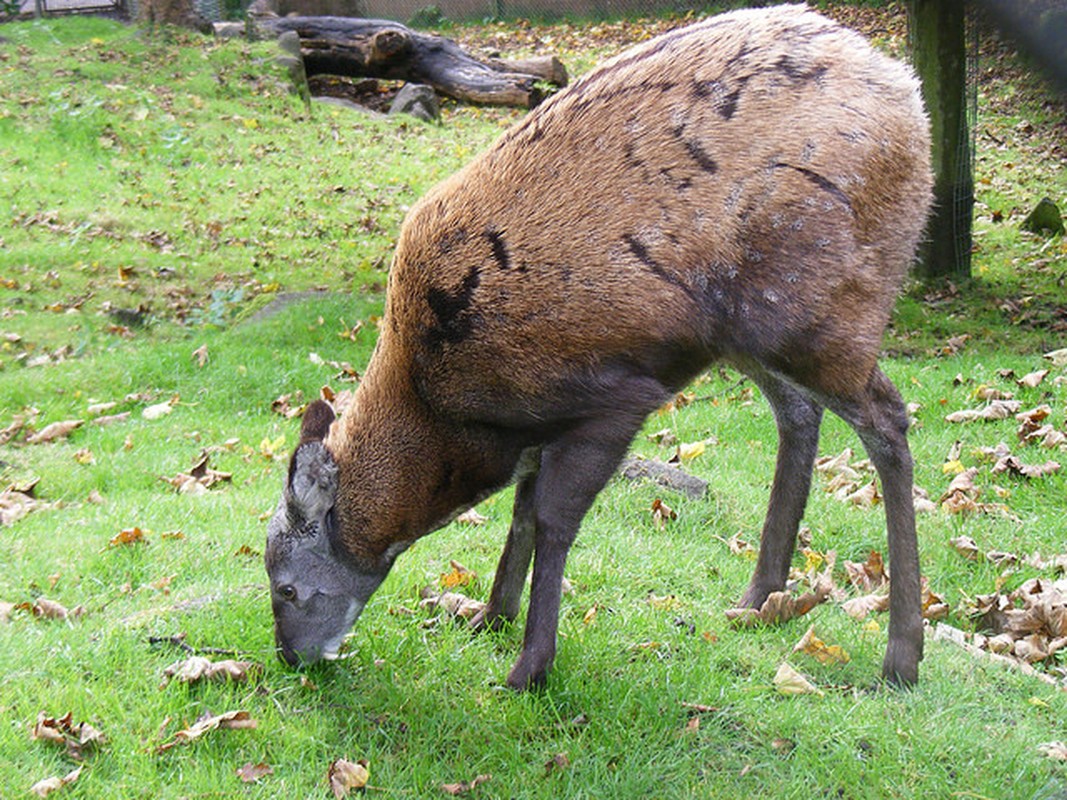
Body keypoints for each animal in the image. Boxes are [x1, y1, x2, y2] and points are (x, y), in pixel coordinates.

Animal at [266, 3, 934, 691]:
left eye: (285, 586)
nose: (290, 656)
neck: (450, 412)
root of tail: (909, 99)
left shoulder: (613, 394)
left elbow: (552, 520)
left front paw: (529, 666)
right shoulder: (539, 428)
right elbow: (521, 513)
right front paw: (488, 614)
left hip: (821, 308)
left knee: (887, 417)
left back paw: (901, 655)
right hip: (750, 336)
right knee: (800, 413)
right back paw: (759, 598)